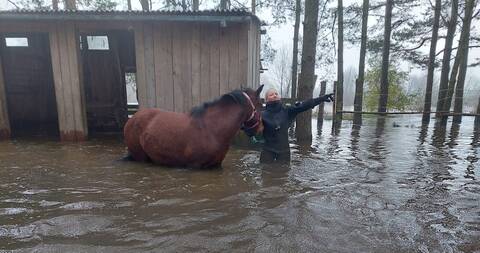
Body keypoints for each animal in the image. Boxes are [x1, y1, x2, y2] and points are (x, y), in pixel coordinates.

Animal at [124, 85, 264, 168]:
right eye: (260, 104)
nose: (261, 128)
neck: (212, 129)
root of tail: (132, 119)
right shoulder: (194, 166)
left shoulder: (216, 166)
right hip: (141, 158)